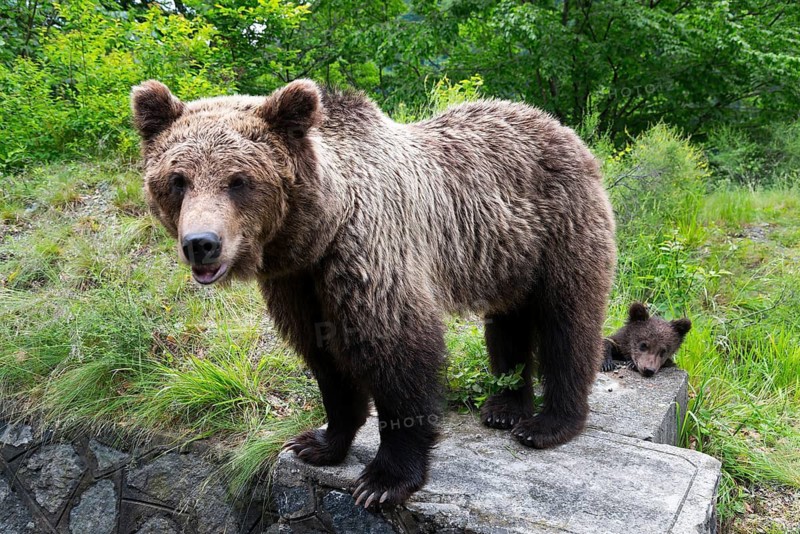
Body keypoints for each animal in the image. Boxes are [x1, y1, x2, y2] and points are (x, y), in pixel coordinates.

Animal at [130, 79, 617, 507]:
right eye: (178, 179)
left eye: (238, 180)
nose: (201, 243)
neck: (317, 233)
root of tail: (559, 126)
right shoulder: (298, 284)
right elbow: (325, 360)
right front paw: (317, 442)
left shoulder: (371, 254)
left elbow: (398, 353)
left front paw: (384, 480)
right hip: (506, 254)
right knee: (507, 321)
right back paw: (504, 405)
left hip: (561, 228)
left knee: (567, 322)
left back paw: (547, 423)